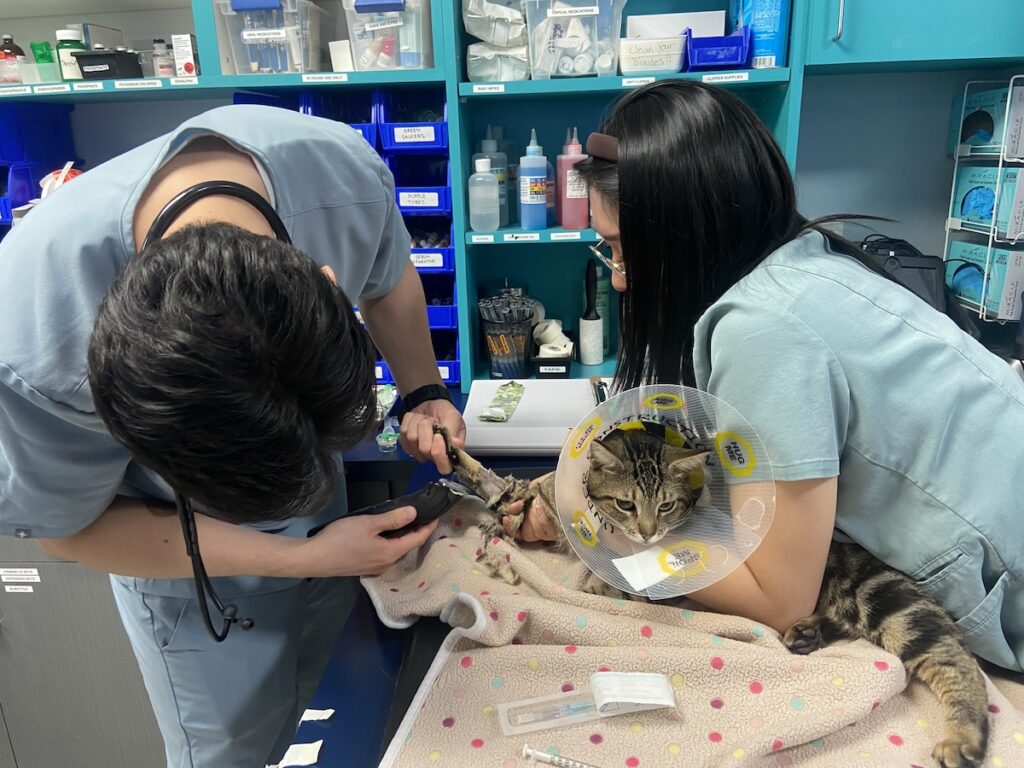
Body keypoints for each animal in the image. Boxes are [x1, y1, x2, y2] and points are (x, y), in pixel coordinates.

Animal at [436, 428, 987, 768]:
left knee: (954, 657)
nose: (647, 531)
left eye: (664, 507)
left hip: (884, 598)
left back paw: (963, 739)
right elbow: (496, 483)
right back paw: (806, 633)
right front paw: (463, 463)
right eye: (626, 503)